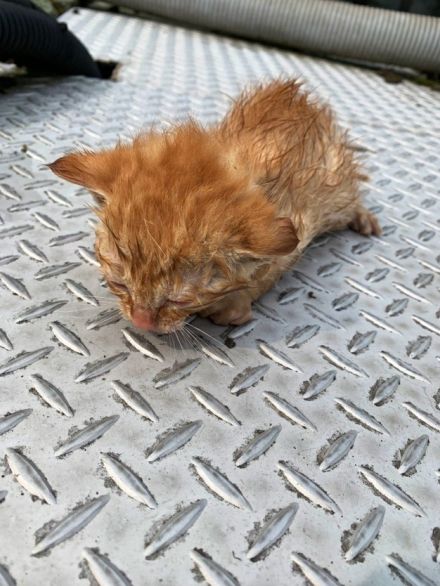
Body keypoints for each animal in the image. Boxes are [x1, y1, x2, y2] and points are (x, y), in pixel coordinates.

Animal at [49, 79, 382, 330]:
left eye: (179, 301)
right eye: (119, 284)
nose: (141, 322)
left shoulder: (296, 226)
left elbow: (265, 273)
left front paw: (231, 306)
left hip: (336, 186)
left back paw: (364, 217)